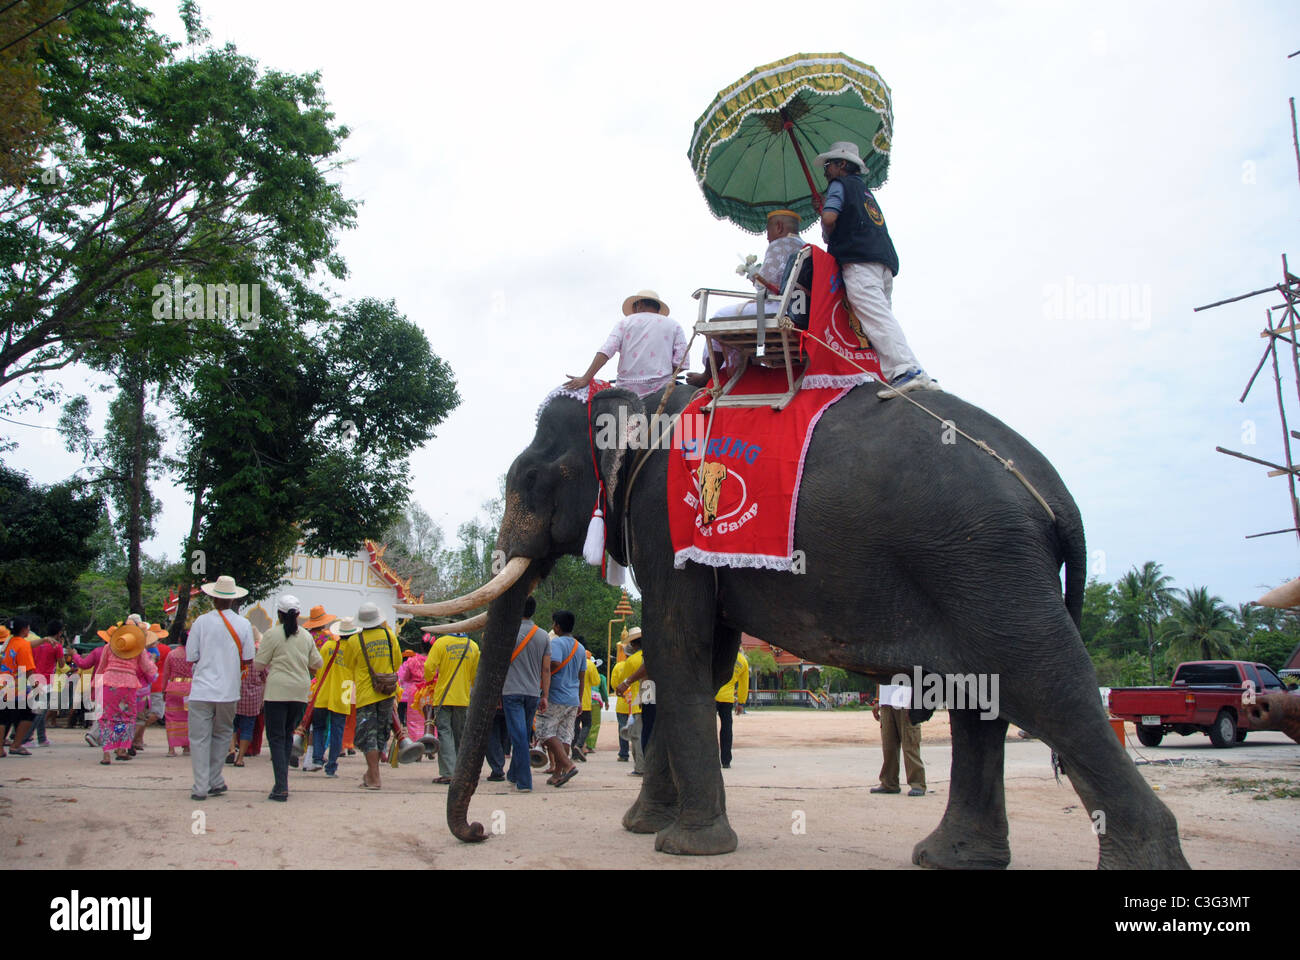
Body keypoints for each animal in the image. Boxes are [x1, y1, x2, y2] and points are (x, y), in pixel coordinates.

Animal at [408, 379, 1190, 868]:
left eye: (532, 480)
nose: (476, 833)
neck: (650, 397)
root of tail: (1059, 497)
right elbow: (707, 659)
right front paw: (644, 828)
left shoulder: (666, 517)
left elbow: (677, 650)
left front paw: (682, 847)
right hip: (979, 570)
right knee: (984, 698)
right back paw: (949, 859)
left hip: (986, 564)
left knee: (1046, 684)